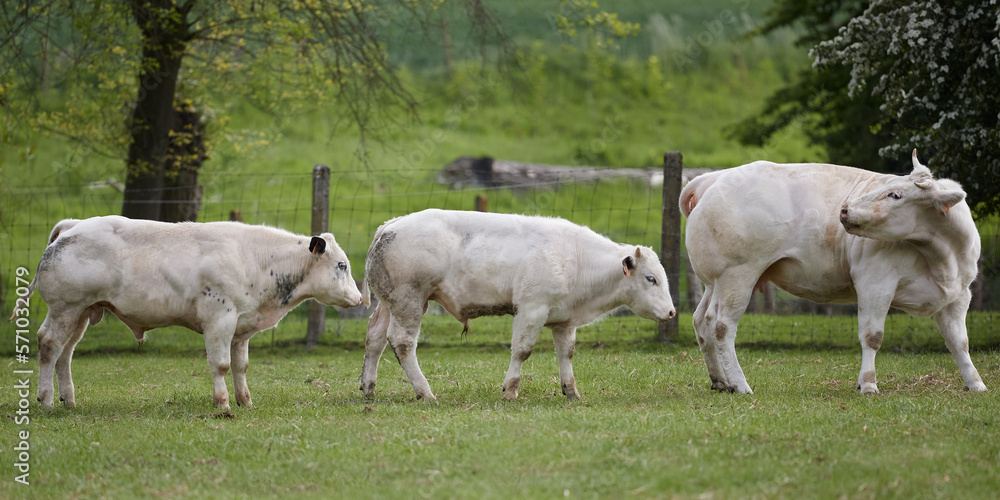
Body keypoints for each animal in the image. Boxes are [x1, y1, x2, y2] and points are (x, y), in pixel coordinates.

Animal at [20, 215, 362, 409]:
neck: (255, 259)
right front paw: (223, 404)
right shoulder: (219, 319)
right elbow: (221, 365)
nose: (359, 298)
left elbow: (241, 366)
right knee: (49, 345)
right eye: (342, 265)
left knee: (65, 354)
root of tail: (72, 226)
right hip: (64, 309)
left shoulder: (241, 328)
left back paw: (68, 399)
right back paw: (46, 400)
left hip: (81, 313)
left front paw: (245, 401)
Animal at [358, 209, 677, 401]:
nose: (672, 312)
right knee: (402, 343)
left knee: (375, 339)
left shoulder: (564, 321)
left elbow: (566, 353)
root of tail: (391, 225)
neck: (575, 258)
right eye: (651, 278)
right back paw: (425, 392)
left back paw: (368, 388)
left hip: (390, 304)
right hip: (409, 302)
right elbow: (522, 350)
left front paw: (571, 391)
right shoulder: (531, 310)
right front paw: (510, 390)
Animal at [680, 151, 986, 395]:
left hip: (714, 282)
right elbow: (872, 335)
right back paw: (740, 384)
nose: (845, 209)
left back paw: (721, 381)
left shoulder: (959, 294)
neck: (941, 256)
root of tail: (715, 176)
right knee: (721, 326)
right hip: (737, 275)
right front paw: (868, 383)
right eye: (889, 186)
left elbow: (959, 342)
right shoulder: (875, 283)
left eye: (895, 194)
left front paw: (975, 382)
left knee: (702, 321)